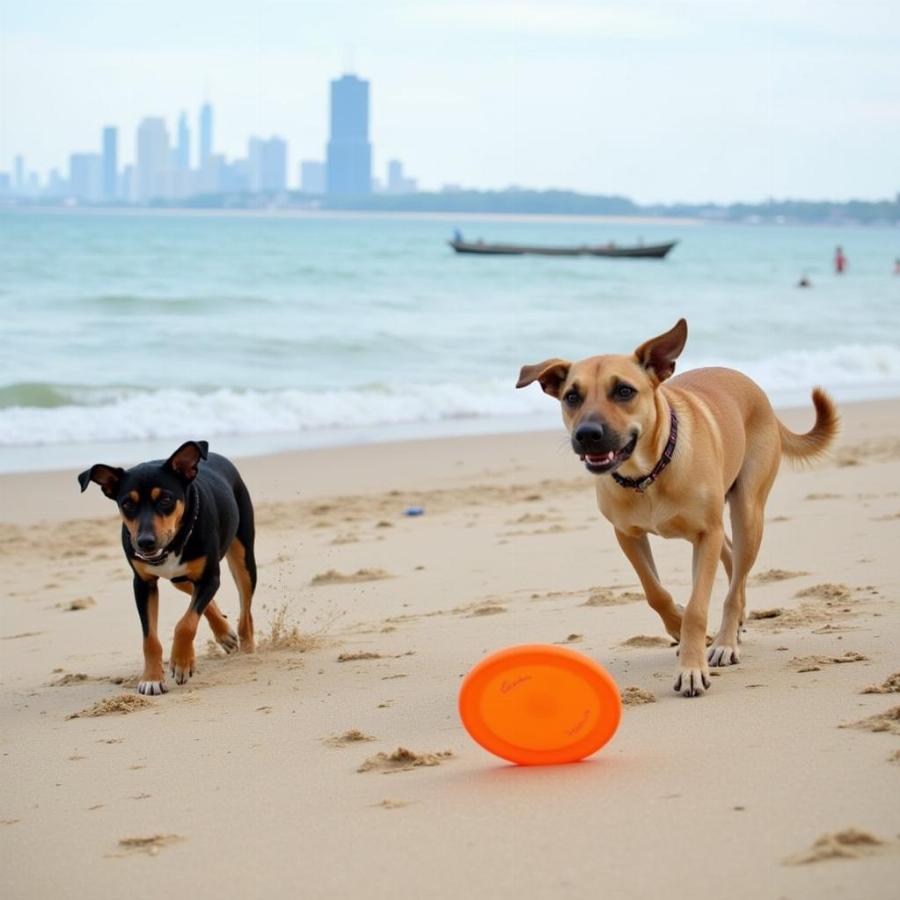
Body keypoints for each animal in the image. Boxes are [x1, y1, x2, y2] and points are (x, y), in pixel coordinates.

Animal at [78, 442, 256, 696]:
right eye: (127, 504)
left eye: (165, 499)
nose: (145, 542)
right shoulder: (143, 584)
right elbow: (150, 638)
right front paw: (151, 679)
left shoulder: (210, 577)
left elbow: (186, 623)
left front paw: (181, 664)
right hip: (179, 578)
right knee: (196, 594)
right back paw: (224, 633)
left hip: (243, 557)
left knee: (246, 606)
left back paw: (247, 647)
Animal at [516, 320, 840, 700]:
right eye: (572, 397)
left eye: (624, 391)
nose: (587, 434)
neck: (647, 474)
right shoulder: (627, 535)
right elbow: (655, 592)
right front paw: (676, 625)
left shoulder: (705, 533)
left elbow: (699, 608)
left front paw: (691, 667)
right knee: (732, 563)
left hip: (747, 511)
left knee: (736, 579)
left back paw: (727, 641)